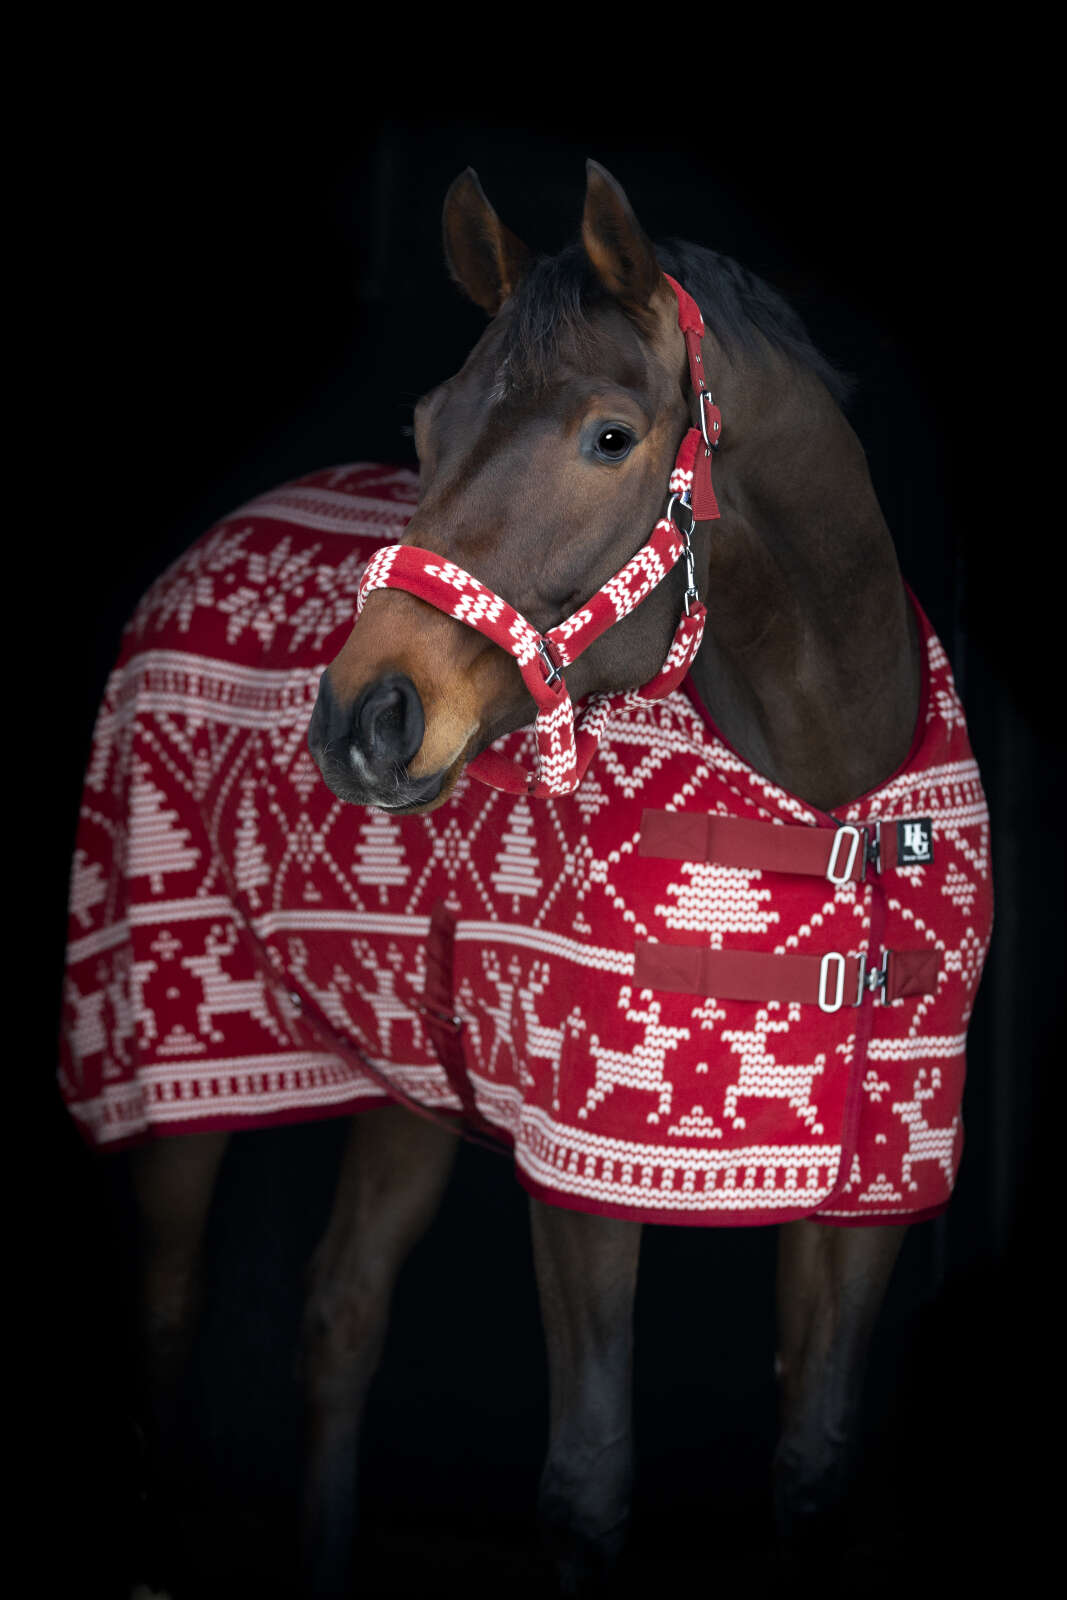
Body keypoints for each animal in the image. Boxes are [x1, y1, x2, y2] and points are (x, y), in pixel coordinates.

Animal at [59, 160, 991, 1596]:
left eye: (610, 436)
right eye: (425, 422)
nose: (364, 720)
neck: (832, 792)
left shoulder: (878, 1190)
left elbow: (813, 1463)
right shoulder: (581, 1173)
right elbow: (586, 1481)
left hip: (407, 1070)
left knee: (340, 1314)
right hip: (167, 1064)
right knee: (167, 1325)